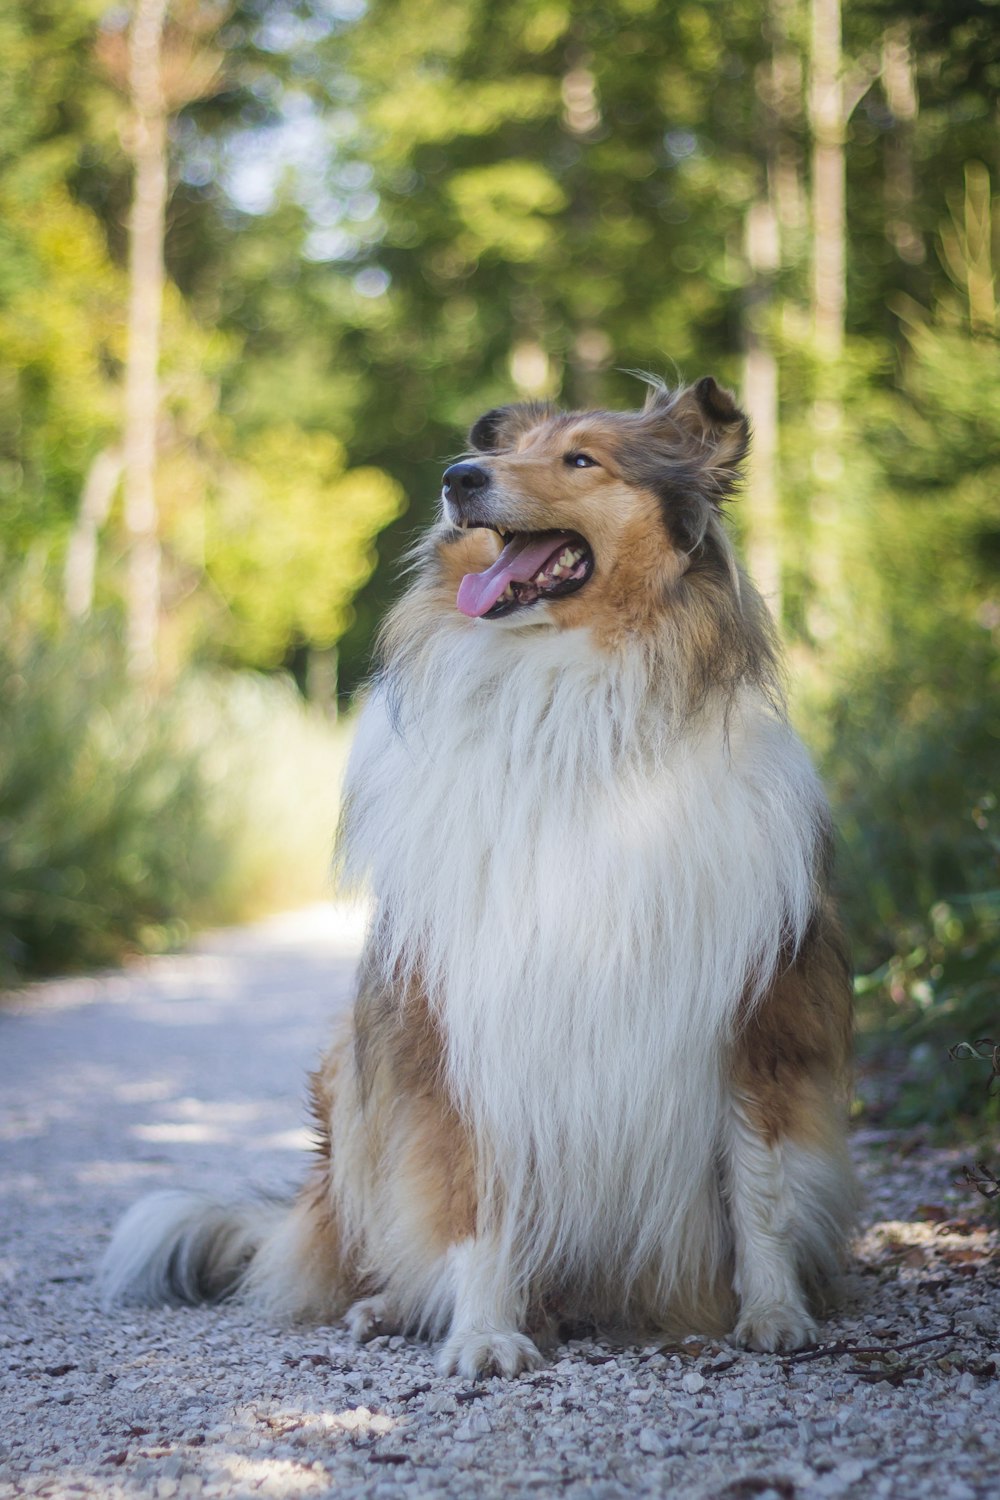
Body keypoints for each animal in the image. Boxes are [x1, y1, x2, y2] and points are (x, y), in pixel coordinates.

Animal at [101, 375, 863, 1374]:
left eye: (582, 458)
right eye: (502, 452)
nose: (460, 477)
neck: (570, 715)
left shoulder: (758, 1013)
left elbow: (762, 1183)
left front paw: (774, 1314)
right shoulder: (462, 1016)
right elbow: (474, 1194)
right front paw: (483, 1333)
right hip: (356, 1075)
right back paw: (391, 1306)